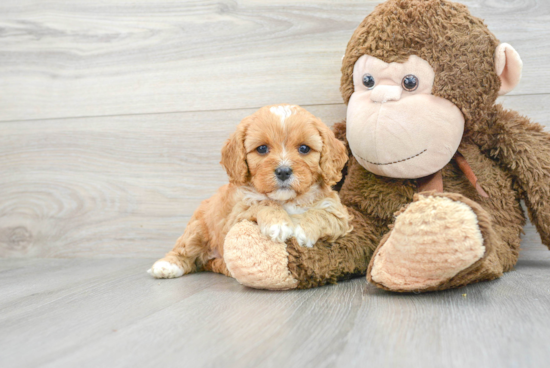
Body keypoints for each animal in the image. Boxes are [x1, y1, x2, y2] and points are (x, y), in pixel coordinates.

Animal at [149, 104, 352, 278]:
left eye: (304, 148)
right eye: (262, 148)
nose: (283, 171)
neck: (286, 200)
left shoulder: (339, 214)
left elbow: (320, 215)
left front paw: (301, 230)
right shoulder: (236, 214)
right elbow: (262, 202)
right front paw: (278, 223)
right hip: (197, 229)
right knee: (184, 250)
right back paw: (166, 266)